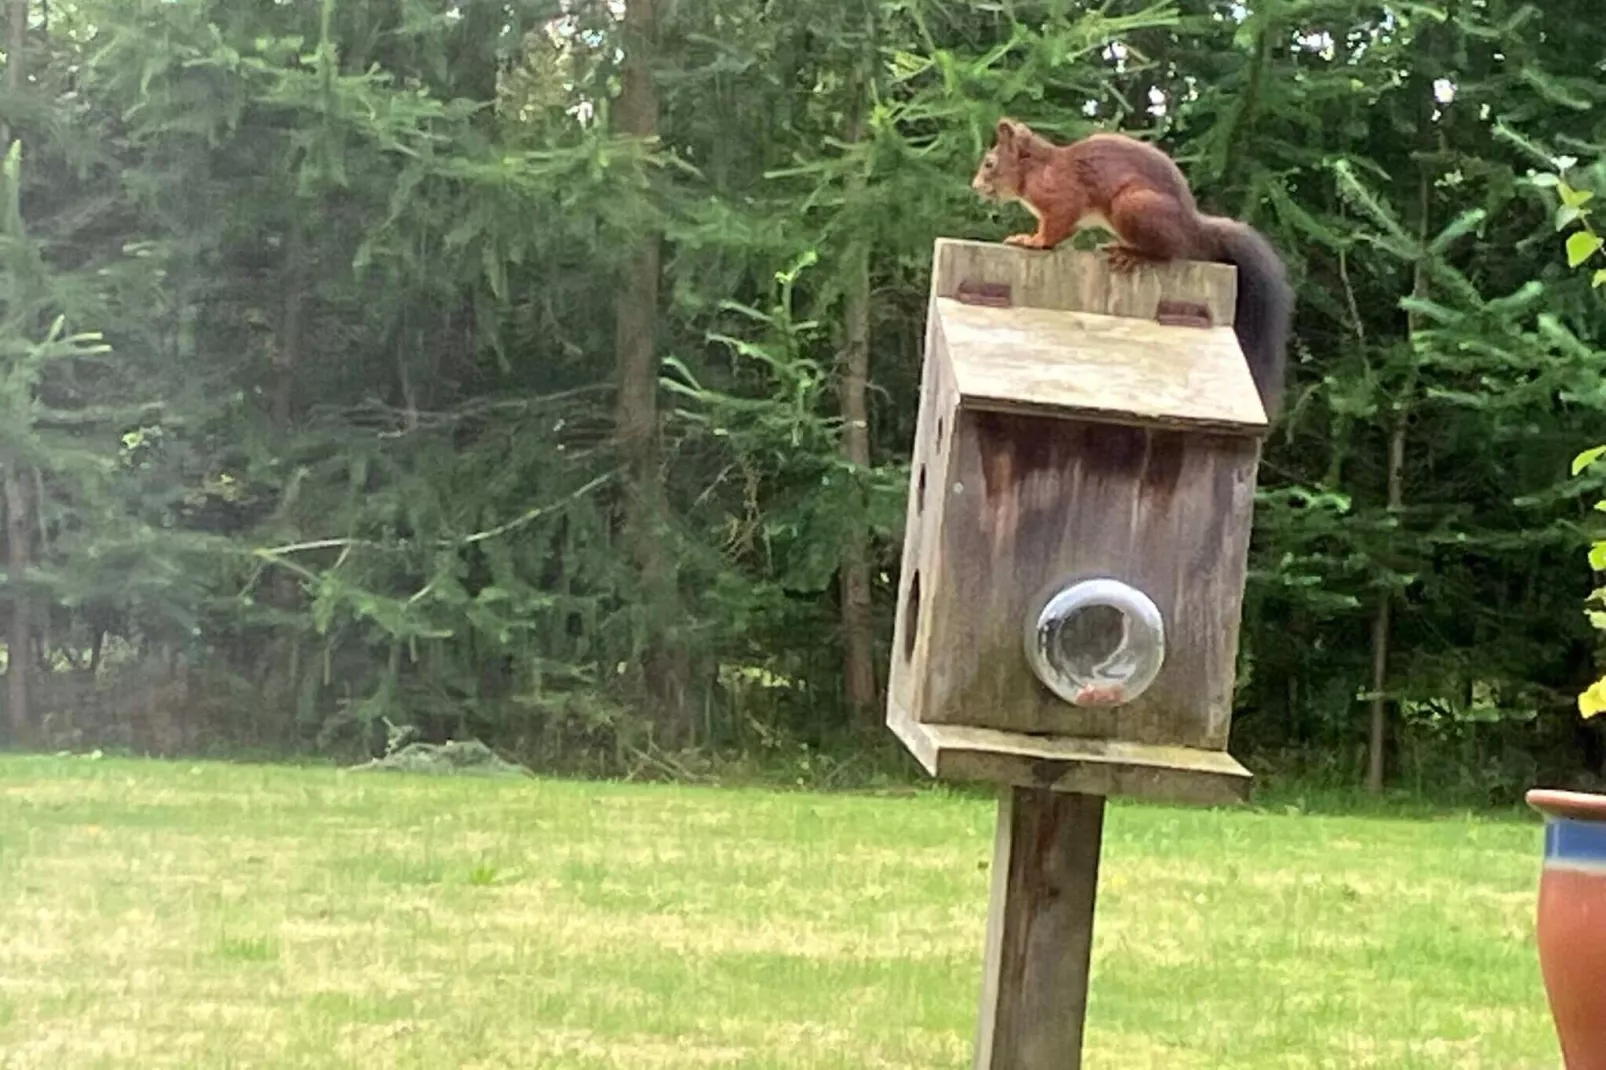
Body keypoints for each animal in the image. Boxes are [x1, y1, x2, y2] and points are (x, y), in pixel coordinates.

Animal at [963, 116, 1291, 417]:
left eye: (990, 164)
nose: (975, 186)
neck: (1037, 169)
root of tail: (1193, 227)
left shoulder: (1063, 198)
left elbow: (1053, 229)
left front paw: (1030, 240)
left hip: (1133, 207)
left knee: (1169, 253)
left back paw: (1130, 253)